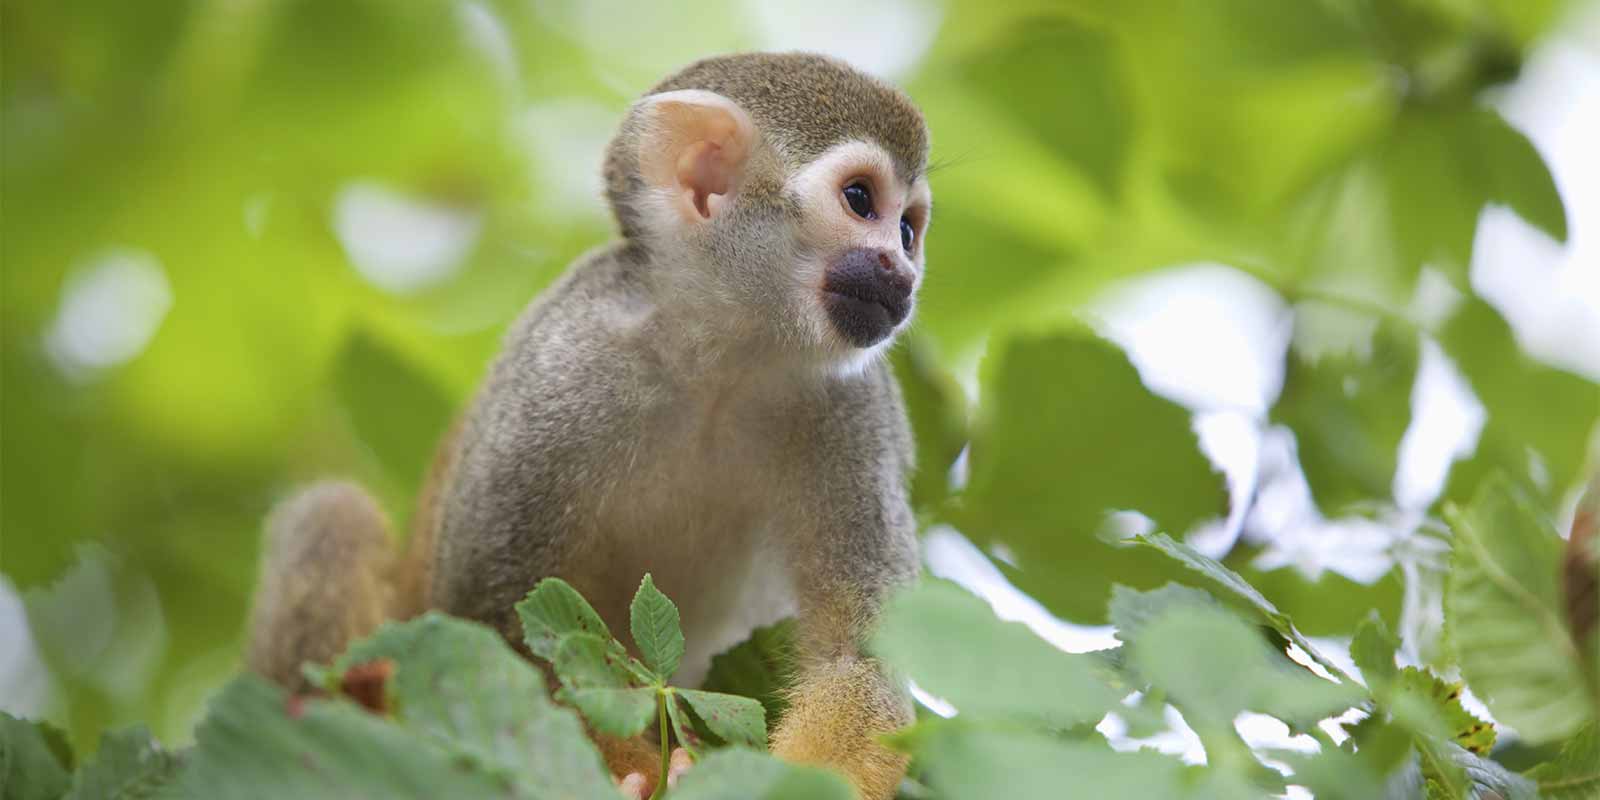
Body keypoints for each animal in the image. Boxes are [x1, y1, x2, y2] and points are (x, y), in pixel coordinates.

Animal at [247, 52, 931, 800]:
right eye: (861, 200)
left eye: (908, 228)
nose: (903, 271)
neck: (721, 361)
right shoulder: (561, 368)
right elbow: (491, 631)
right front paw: (642, 774)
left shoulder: (857, 408)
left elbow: (856, 662)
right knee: (330, 515)